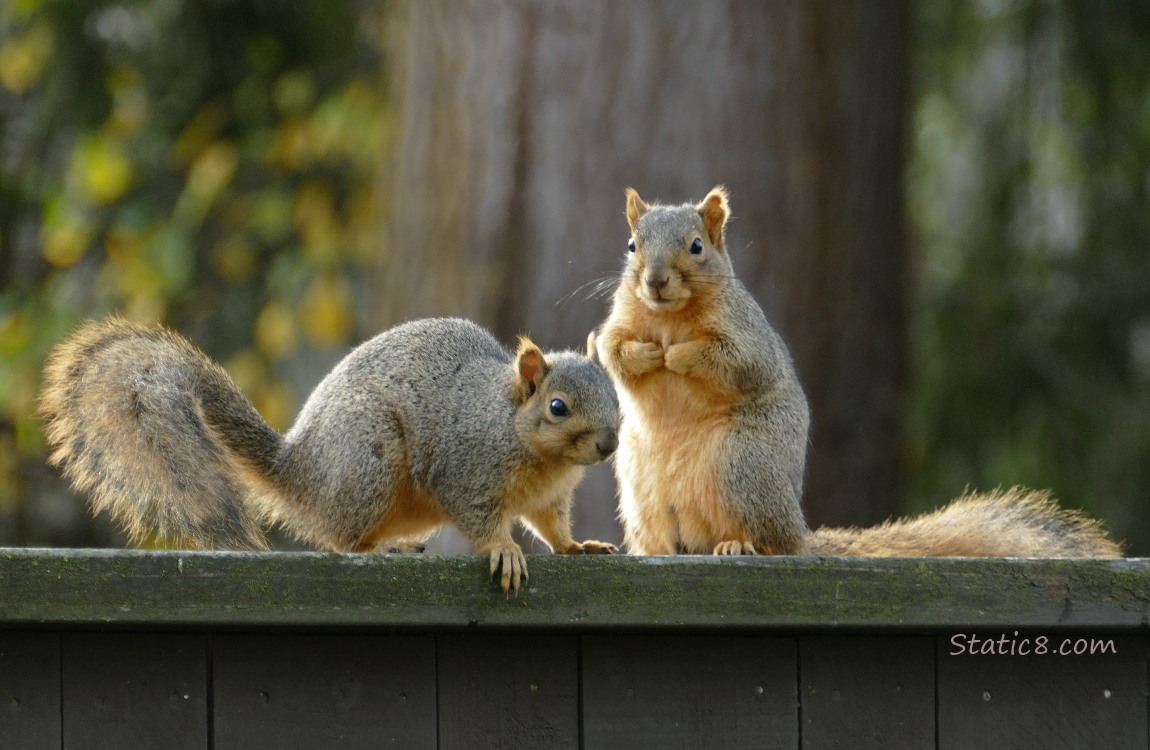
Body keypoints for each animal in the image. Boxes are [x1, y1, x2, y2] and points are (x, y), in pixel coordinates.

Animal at [40, 316, 621, 593]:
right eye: (558, 407)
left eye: (616, 394)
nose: (611, 443)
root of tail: (299, 471)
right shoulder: (466, 467)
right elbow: (480, 518)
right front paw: (504, 548)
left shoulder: (550, 499)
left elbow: (552, 526)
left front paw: (576, 546)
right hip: (368, 459)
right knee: (340, 542)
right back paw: (376, 551)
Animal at [589, 186, 1122, 558]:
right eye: (633, 245)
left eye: (697, 246)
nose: (656, 281)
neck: (668, 317)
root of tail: (802, 532)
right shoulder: (619, 321)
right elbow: (612, 350)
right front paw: (645, 356)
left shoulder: (747, 336)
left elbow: (736, 363)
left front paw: (678, 356)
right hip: (639, 486)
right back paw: (652, 551)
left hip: (743, 464)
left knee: (775, 544)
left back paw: (739, 544)